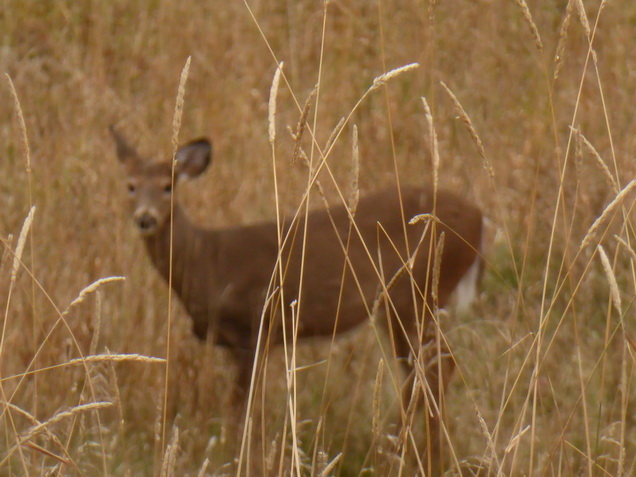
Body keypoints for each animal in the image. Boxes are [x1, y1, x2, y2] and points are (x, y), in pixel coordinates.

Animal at [112, 124, 484, 462]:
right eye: (130, 185)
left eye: (168, 186)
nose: (145, 218)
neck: (207, 261)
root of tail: (480, 220)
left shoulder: (255, 328)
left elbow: (242, 409)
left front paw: (241, 457)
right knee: (423, 371)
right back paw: (401, 451)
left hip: (414, 294)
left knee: (435, 369)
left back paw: (411, 455)